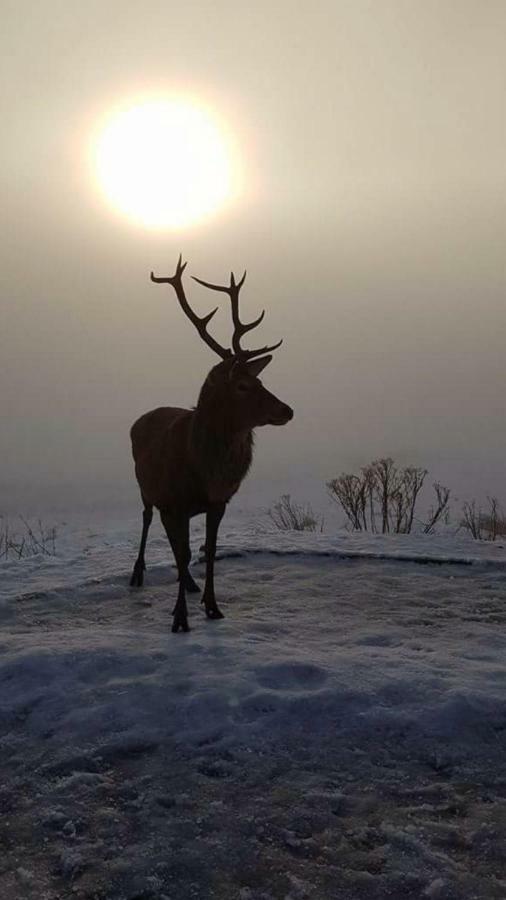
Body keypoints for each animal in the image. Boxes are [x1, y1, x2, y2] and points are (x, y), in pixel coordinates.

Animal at [129, 253, 292, 632]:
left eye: (261, 381)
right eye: (243, 386)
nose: (287, 410)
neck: (205, 471)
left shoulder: (218, 502)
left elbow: (208, 548)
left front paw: (212, 606)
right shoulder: (173, 500)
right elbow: (185, 550)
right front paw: (179, 618)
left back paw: (189, 583)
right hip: (145, 488)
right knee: (146, 519)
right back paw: (137, 574)